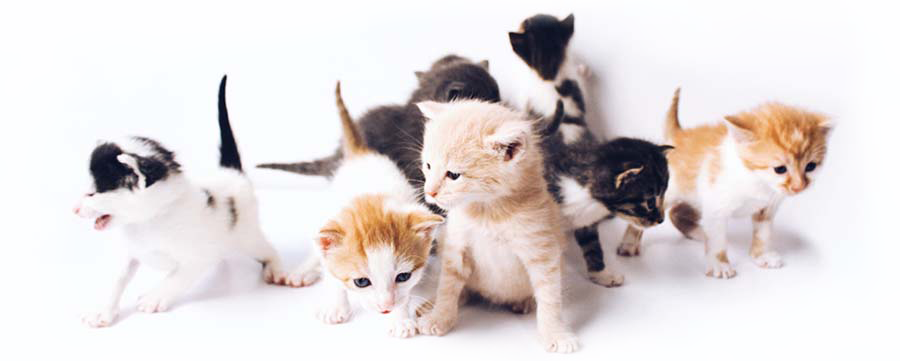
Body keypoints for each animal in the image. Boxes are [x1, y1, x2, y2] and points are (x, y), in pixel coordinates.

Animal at [78, 76, 290, 326]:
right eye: (85, 192)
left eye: (92, 194)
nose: (74, 209)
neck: (148, 221)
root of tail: (231, 173)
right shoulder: (131, 251)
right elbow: (117, 278)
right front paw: (103, 310)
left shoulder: (198, 256)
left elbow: (177, 277)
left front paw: (155, 297)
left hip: (246, 235)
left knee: (267, 250)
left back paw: (276, 269)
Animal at [288, 82, 442, 338]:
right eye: (361, 282)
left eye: (403, 276)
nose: (385, 307)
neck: (370, 202)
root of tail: (362, 153)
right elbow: (332, 273)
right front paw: (335, 306)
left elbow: (405, 295)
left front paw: (400, 319)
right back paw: (301, 272)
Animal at [414, 100, 576, 352]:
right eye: (428, 166)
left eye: (453, 175)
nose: (429, 192)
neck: (487, 212)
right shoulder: (455, 248)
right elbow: (447, 288)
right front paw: (439, 318)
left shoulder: (543, 252)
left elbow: (550, 298)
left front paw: (555, 334)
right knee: (464, 290)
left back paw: (524, 302)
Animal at [510, 12, 672, 286]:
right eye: (649, 201)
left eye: (662, 196)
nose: (661, 219)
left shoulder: (585, 222)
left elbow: (592, 248)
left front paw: (602, 275)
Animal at [620, 88, 828, 278]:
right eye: (780, 169)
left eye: (811, 166)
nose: (799, 187)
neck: (755, 179)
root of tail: (678, 135)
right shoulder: (715, 207)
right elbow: (718, 239)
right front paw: (720, 265)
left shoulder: (767, 207)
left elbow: (763, 233)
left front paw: (762, 256)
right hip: (667, 193)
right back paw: (628, 245)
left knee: (675, 213)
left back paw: (698, 232)